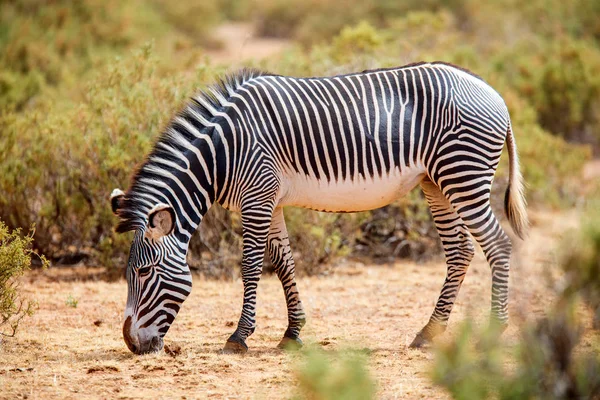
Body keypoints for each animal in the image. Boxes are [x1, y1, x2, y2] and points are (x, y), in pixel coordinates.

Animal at [110, 61, 528, 354]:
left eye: (144, 272)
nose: (132, 344)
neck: (222, 154)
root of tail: (494, 93)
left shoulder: (257, 196)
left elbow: (250, 266)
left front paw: (239, 337)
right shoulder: (271, 199)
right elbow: (283, 263)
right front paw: (292, 333)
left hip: (463, 175)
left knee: (497, 245)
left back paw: (494, 329)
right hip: (436, 182)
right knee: (460, 252)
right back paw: (429, 332)